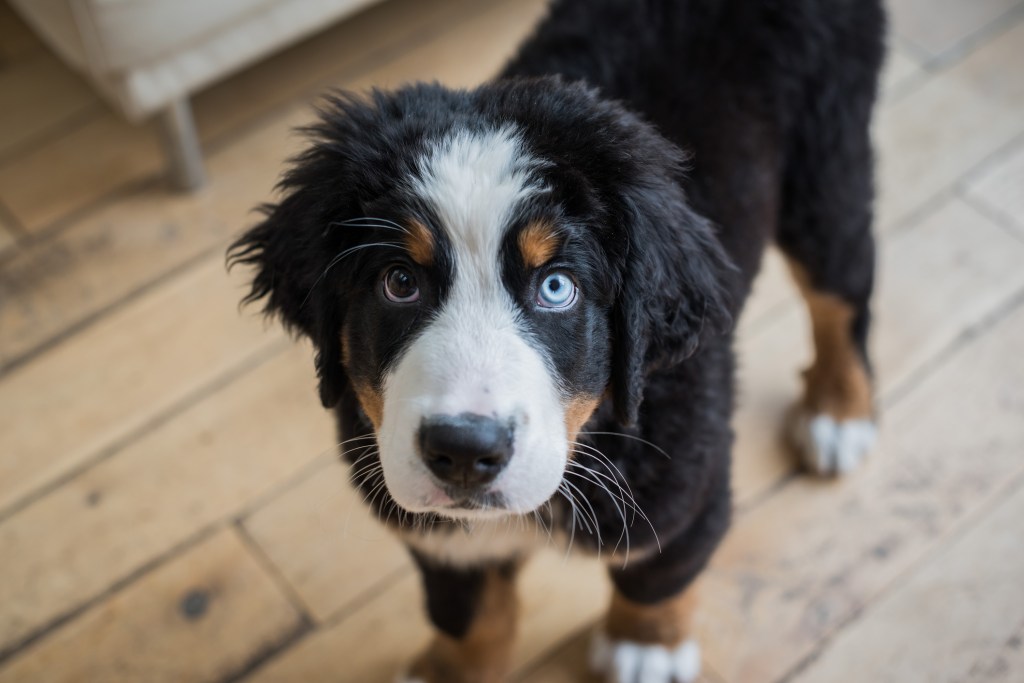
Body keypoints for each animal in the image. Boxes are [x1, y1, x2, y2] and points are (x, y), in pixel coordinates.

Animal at [228, 0, 884, 679]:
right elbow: (466, 612)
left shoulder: (687, 487)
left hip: (826, 157)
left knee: (843, 291)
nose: (464, 450)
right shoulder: (431, 529)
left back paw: (839, 411)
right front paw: (452, 668)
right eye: (399, 282)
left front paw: (646, 645)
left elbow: (660, 573)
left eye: (556, 287)